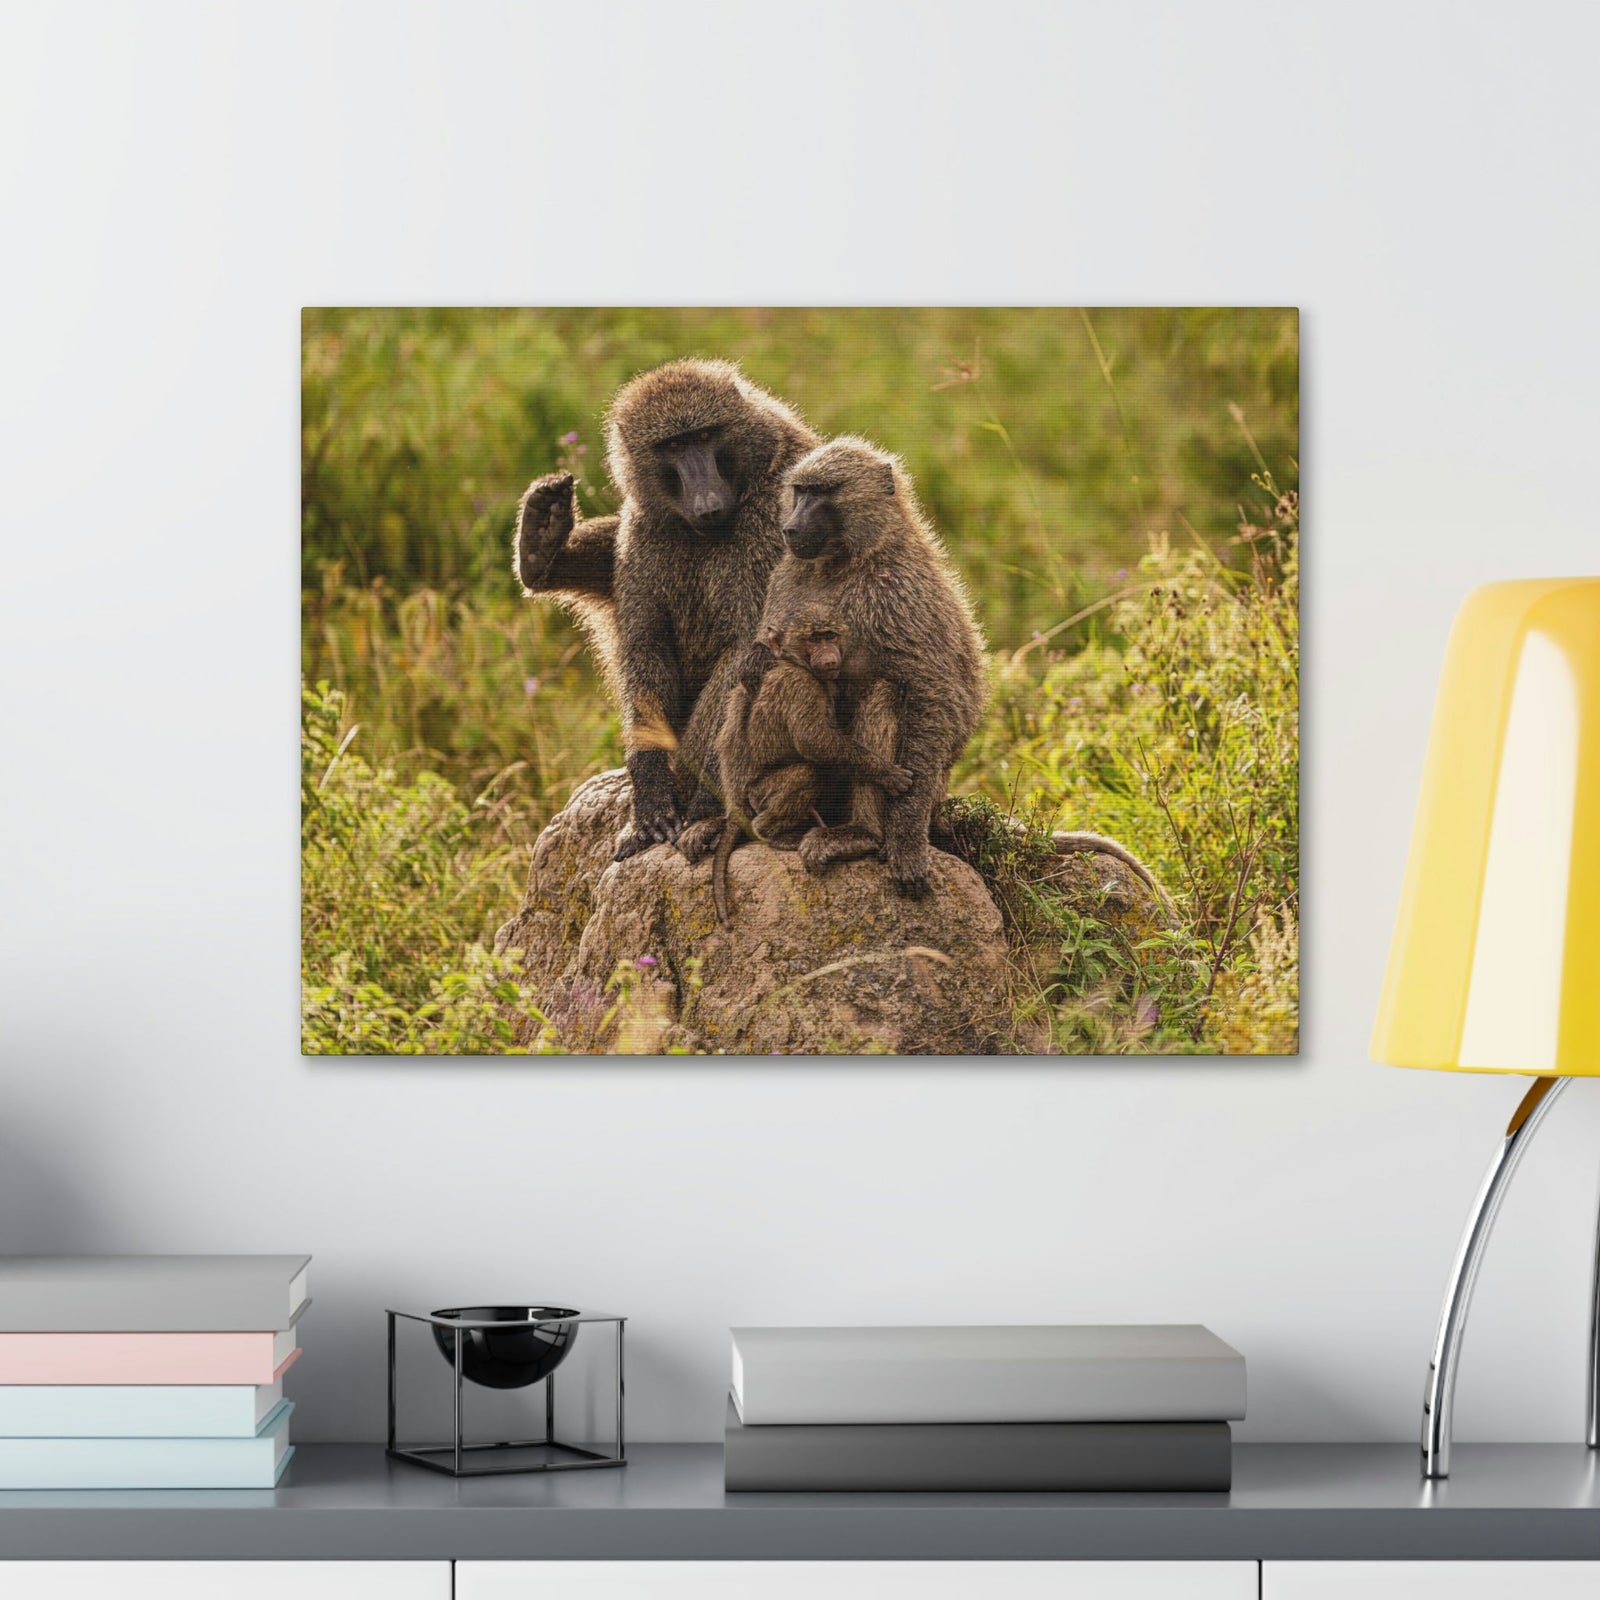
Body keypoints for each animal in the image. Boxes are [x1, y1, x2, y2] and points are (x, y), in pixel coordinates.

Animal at [512, 360, 819, 861]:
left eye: (706, 436)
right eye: (673, 446)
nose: (707, 501)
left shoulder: (774, 522)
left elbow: (746, 653)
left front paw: (700, 806)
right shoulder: (646, 529)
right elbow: (645, 643)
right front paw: (652, 793)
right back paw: (540, 549)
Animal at [703, 606, 915, 925]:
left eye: (830, 635)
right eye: (813, 639)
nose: (828, 655)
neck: (796, 662)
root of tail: (740, 804)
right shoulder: (800, 686)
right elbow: (814, 742)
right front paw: (885, 772)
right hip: (759, 794)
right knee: (808, 772)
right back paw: (772, 834)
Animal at [745, 437, 988, 900]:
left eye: (825, 491)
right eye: (800, 491)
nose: (791, 529)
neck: (845, 561)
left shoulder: (899, 591)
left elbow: (932, 692)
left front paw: (906, 842)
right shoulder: (785, 578)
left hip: (931, 785)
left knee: (886, 692)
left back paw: (864, 834)